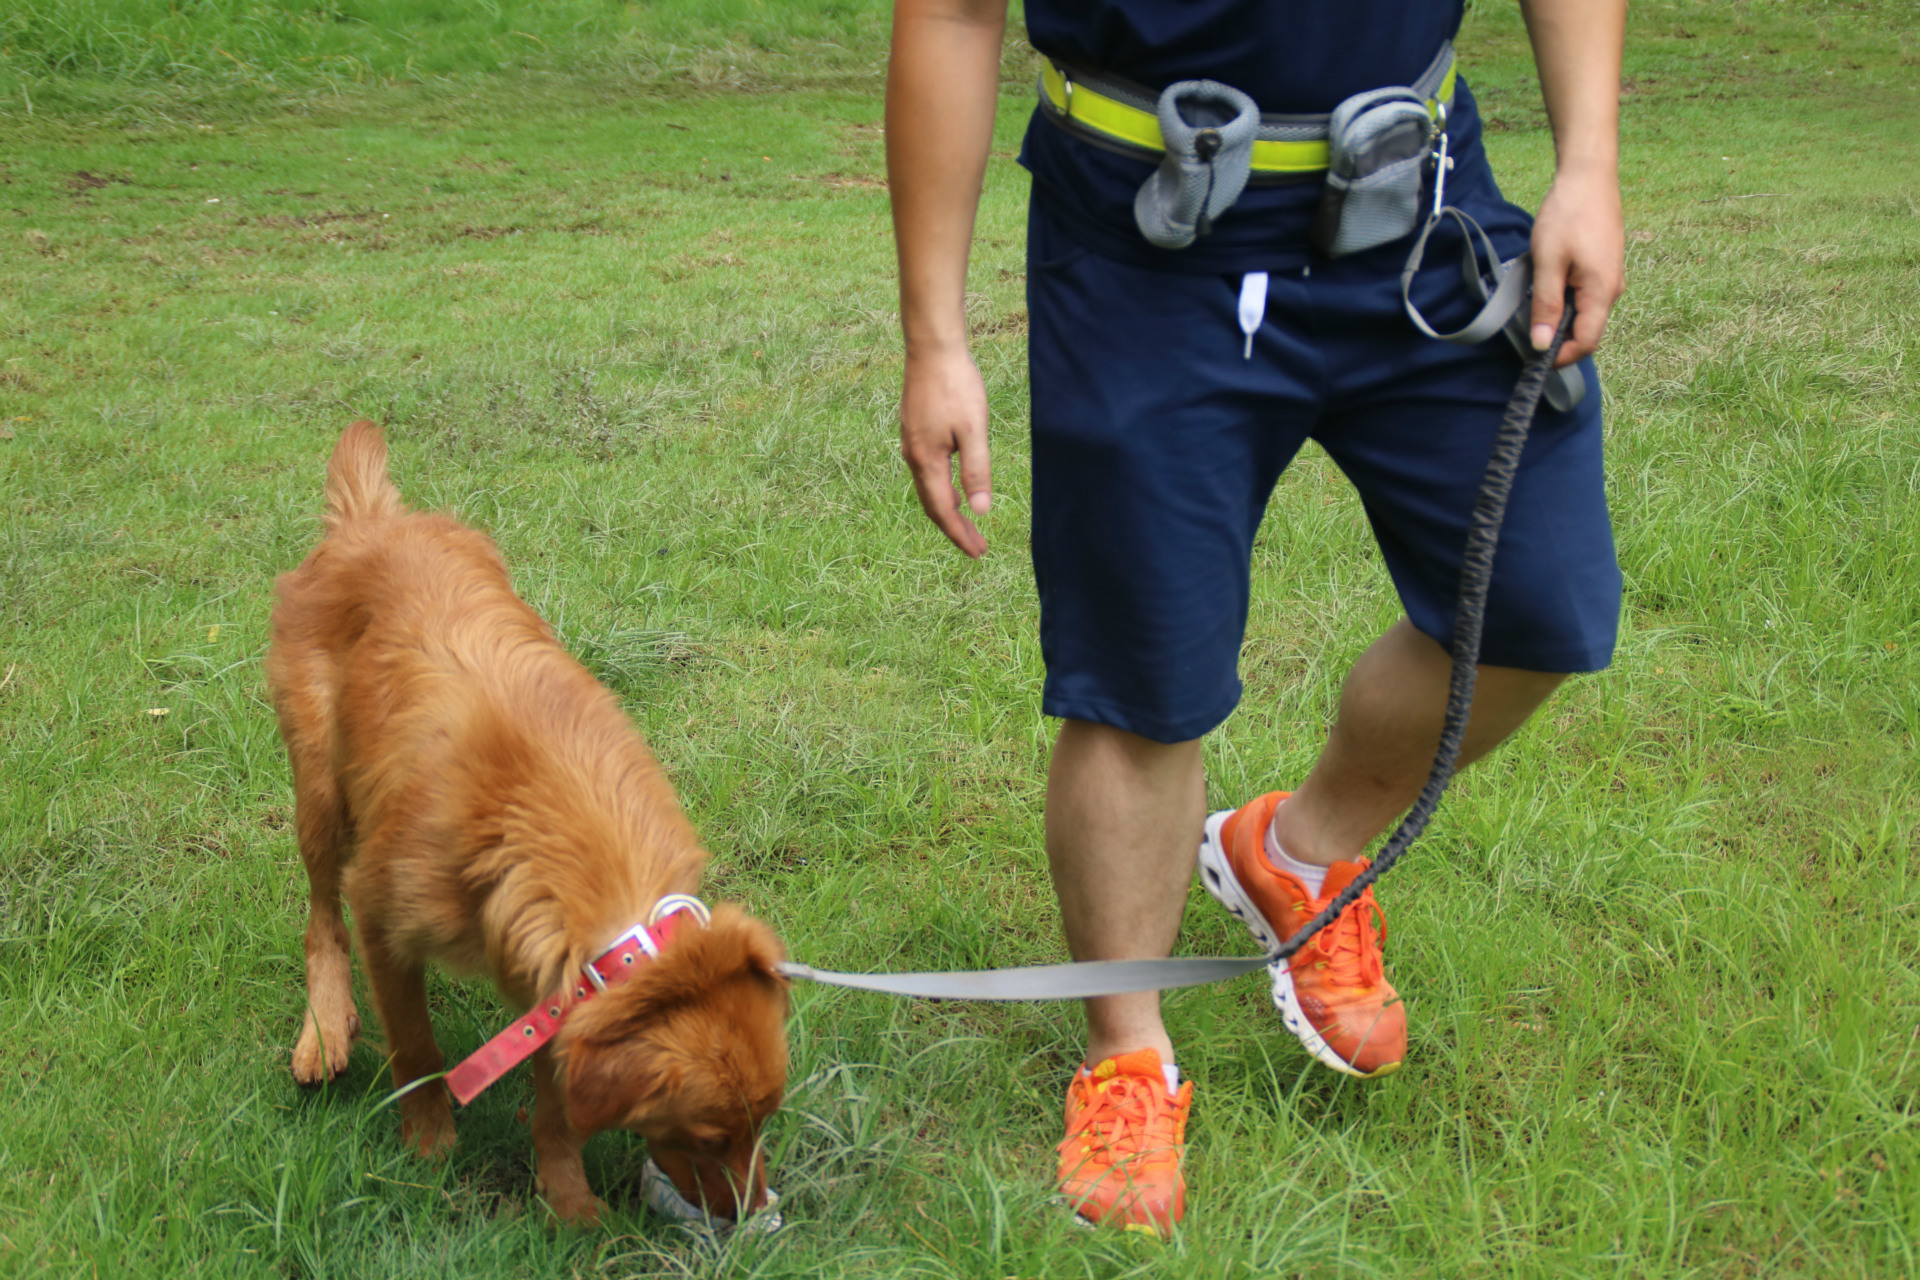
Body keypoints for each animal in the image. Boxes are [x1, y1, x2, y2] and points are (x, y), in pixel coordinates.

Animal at [264, 418, 787, 1220]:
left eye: (765, 1117)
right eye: (707, 1135)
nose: (755, 1215)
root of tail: (372, 523)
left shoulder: (555, 980)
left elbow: (558, 1108)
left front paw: (567, 1201)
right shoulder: (384, 916)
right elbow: (415, 1049)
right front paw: (429, 1148)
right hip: (321, 792)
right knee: (322, 921)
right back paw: (323, 1030)